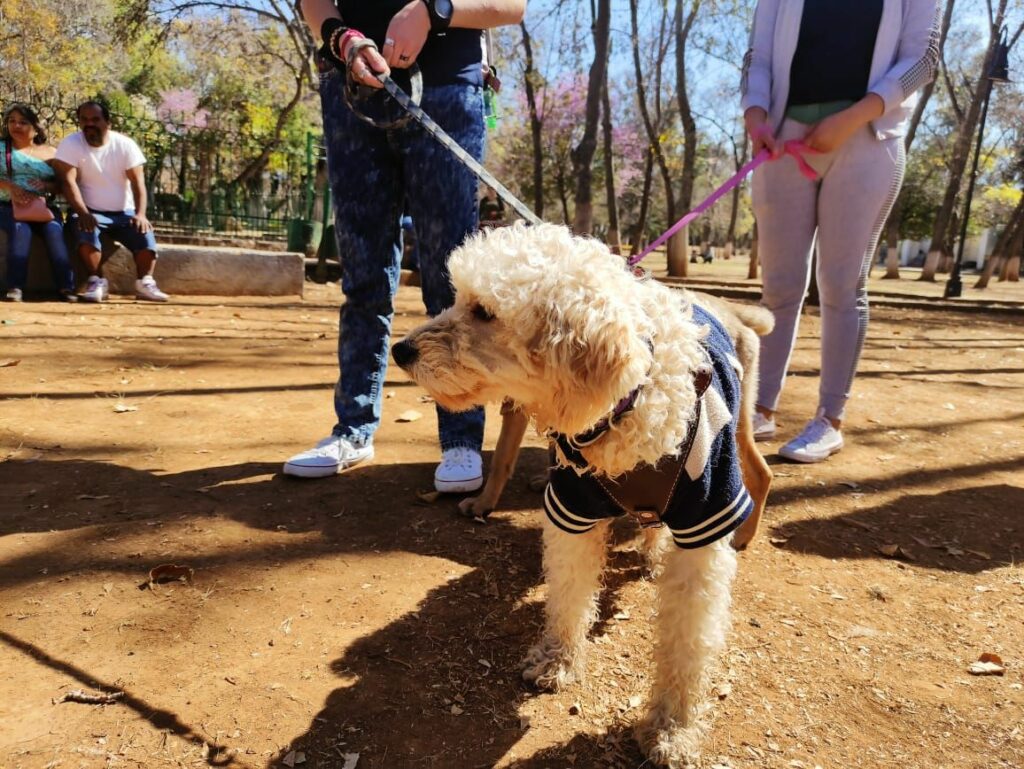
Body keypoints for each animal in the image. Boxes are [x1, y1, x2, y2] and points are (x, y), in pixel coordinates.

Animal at [391, 224, 770, 769]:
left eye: (484, 311)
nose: (400, 350)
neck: (628, 403)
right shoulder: (573, 508)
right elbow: (569, 596)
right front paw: (558, 661)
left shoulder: (707, 518)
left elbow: (687, 643)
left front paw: (672, 729)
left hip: (738, 433)